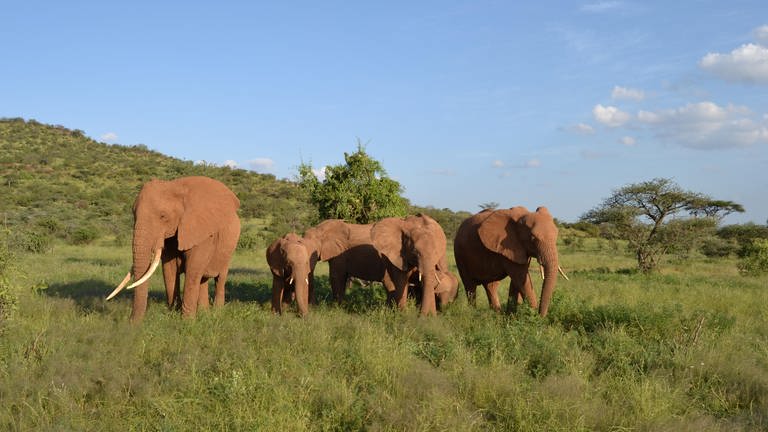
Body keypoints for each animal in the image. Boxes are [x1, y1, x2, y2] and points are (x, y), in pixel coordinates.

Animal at [108, 176, 240, 320]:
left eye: (163, 216)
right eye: (133, 214)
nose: (131, 322)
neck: (175, 186)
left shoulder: (201, 232)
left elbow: (193, 269)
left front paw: (187, 321)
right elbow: (169, 268)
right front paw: (173, 314)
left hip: (229, 249)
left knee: (219, 278)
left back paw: (217, 312)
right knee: (203, 279)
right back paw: (204, 313)